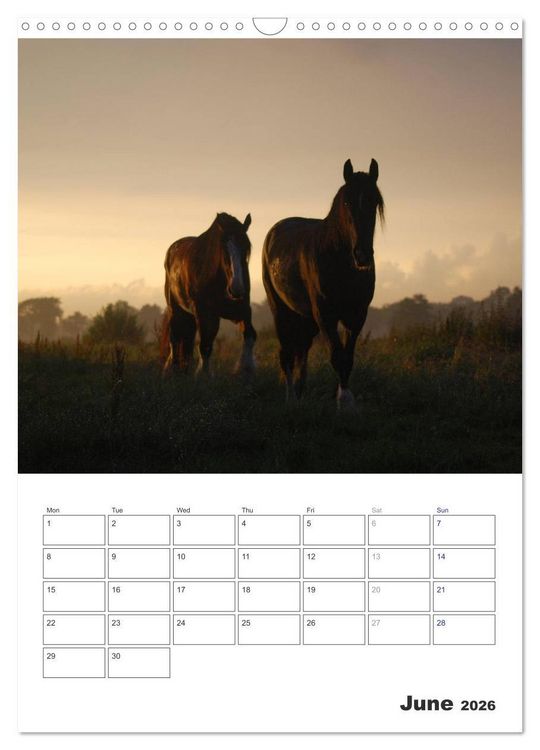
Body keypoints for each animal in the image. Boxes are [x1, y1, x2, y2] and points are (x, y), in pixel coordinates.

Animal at [162, 212, 256, 376]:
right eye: (224, 250)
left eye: (246, 248)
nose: (236, 289)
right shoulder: (205, 313)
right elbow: (205, 345)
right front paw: (203, 374)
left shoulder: (241, 309)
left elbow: (250, 335)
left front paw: (246, 369)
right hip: (175, 310)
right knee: (174, 339)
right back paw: (173, 370)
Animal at [262, 158, 384, 410]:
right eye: (347, 202)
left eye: (374, 202)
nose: (362, 255)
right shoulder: (325, 315)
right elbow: (337, 356)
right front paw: (344, 401)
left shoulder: (356, 315)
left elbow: (348, 357)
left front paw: (347, 401)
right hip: (280, 310)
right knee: (286, 354)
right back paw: (290, 397)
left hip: (306, 318)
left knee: (301, 351)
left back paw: (300, 394)